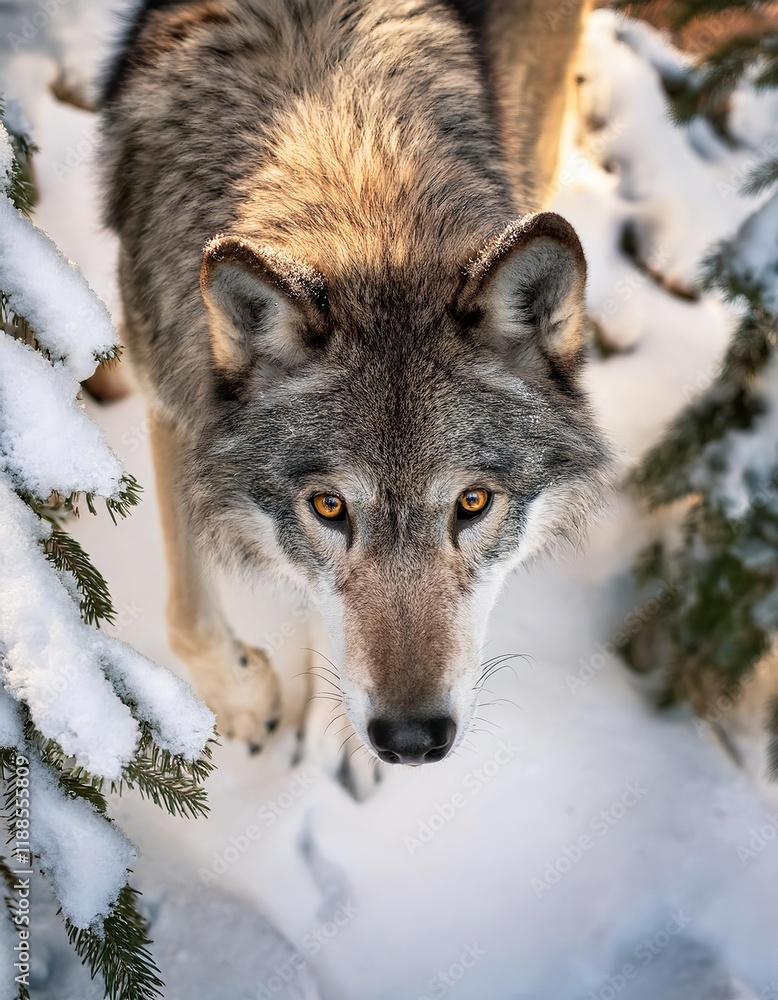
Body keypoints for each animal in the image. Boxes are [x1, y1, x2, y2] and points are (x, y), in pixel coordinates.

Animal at [99, 0, 609, 766]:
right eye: (330, 507)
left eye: (473, 502)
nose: (411, 740)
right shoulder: (176, 395)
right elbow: (188, 613)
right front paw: (247, 700)